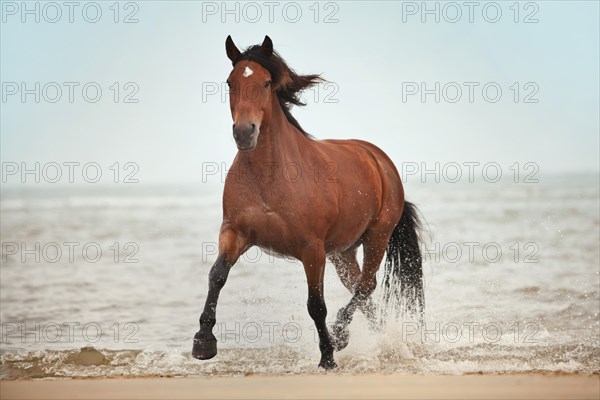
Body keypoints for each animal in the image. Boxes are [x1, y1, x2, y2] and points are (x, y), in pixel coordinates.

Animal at [191, 35, 422, 368]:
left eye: (265, 83)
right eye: (230, 82)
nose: (244, 133)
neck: (269, 177)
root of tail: (379, 159)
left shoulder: (311, 249)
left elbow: (316, 304)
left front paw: (327, 357)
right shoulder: (235, 232)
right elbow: (217, 276)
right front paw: (203, 341)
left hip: (377, 236)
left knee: (366, 285)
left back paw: (340, 335)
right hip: (343, 252)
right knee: (361, 289)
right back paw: (372, 339)